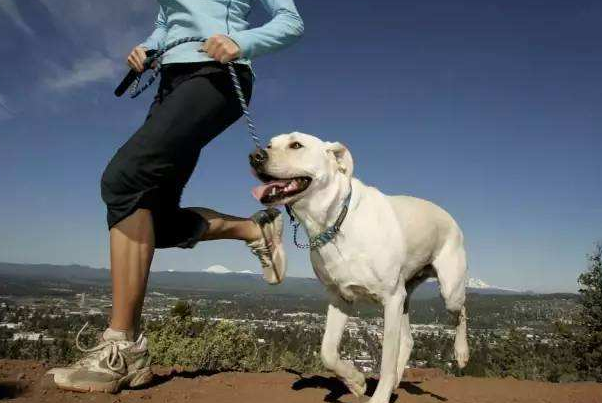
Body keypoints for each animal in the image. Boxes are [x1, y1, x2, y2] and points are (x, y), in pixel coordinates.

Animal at [248, 133, 468, 403]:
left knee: (461, 312)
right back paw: (396, 381)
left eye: (296, 145)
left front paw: (379, 397)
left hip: (448, 290)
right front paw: (355, 382)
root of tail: (448, 215)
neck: (335, 222)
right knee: (408, 340)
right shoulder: (340, 297)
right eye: (269, 145)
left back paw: (461, 353)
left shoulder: (390, 299)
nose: (255, 156)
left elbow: (385, 360)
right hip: (405, 297)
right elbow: (328, 351)